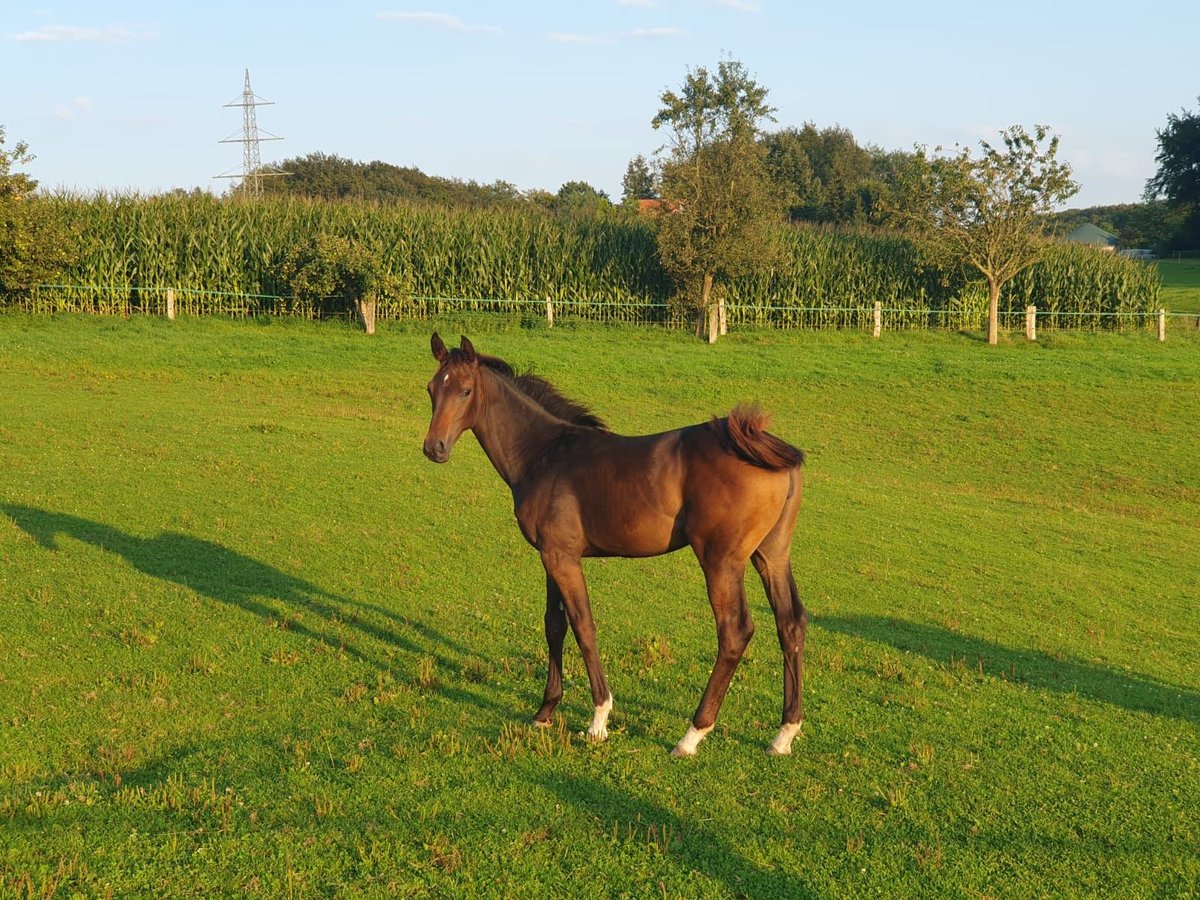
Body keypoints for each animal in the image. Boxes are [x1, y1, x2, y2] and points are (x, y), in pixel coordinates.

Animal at [422, 336, 806, 758]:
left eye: (465, 390)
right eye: (431, 389)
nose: (434, 448)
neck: (543, 454)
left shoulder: (562, 558)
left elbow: (583, 626)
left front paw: (599, 719)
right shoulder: (551, 555)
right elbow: (554, 625)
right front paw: (545, 712)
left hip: (721, 561)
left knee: (735, 632)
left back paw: (691, 735)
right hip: (771, 555)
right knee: (790, 624)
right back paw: (784, 734)